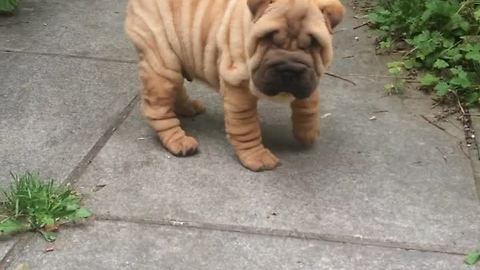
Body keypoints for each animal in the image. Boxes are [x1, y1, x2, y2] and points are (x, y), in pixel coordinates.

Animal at [124, 0, 344, 171]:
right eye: (268, 39)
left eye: (313, 44)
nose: (289, 69)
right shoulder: (237, 83)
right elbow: (246, 126)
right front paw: (256, 157)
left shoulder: (311, 76)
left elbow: (309, 103)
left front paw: (307, 132)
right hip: (161, 60)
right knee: (158, 110)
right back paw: (179, 140)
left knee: (175, 88)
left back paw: (188, 108)